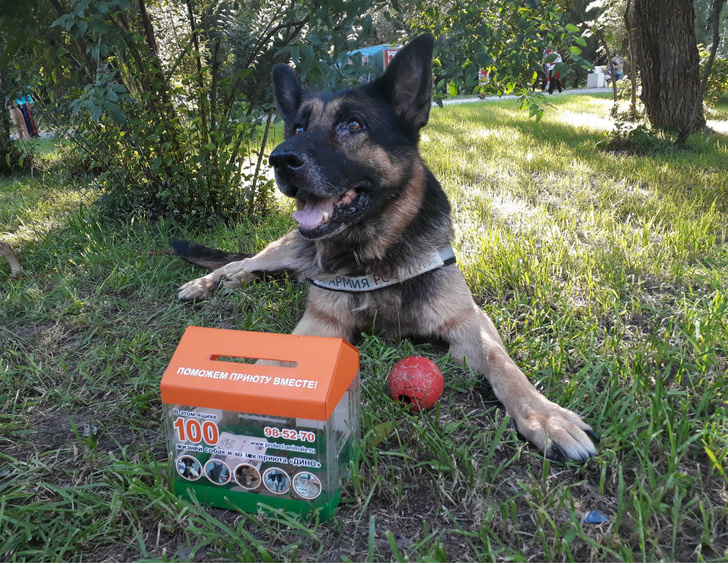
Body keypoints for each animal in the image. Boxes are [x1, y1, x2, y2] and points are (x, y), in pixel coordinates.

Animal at [175, 33, 596, 460]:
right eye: (297, 126)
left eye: (353, 124)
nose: (279, 158)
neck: (376, 255)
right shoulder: (321, 324)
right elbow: (270, 365)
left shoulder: (468, 320)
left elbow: (503, 364)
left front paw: (545, 416)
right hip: (282, 250)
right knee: (240, 263)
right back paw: (206, 283)